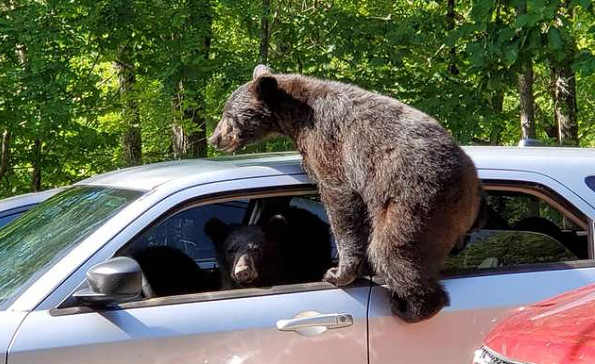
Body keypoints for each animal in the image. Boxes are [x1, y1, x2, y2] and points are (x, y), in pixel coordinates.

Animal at [210, 65, 484, 322]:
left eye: (228, 113)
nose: (215, 138)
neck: (296, 117)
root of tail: (472, 192)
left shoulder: (330, 145)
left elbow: (339, 199)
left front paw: (338, 272)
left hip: (416, 199)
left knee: (392, 249)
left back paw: (410, 306)